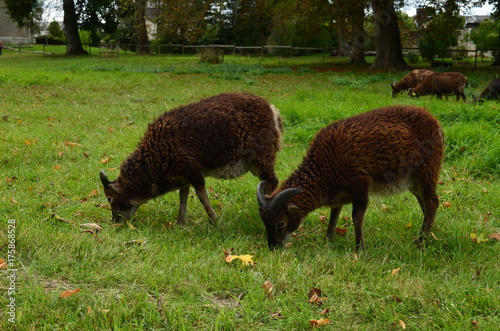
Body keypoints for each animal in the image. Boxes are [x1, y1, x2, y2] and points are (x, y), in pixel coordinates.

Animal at [99, 92, 284, 224]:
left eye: (110, 198)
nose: (115, 222)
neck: (150, 163)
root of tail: (272, 110)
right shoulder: (183, 175)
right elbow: (183, 197)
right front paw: (180, 223)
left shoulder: (193, 171)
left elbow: (202, 198)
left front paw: (215, 222)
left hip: (261, 157)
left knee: (272, 181)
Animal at [256, 105, 444, 250]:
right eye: (264, 222)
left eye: (280, 223)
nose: (273, 247)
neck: (323, 168)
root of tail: (434, 120)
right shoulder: (338, 192)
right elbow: (334, 214)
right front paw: (328, 240)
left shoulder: (360, 186)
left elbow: (356, 218)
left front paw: (359, 248)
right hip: (414, 181)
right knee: (425, 203)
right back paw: (431, 233)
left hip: (427, 170)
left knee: (432, 202)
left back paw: (420, 242)